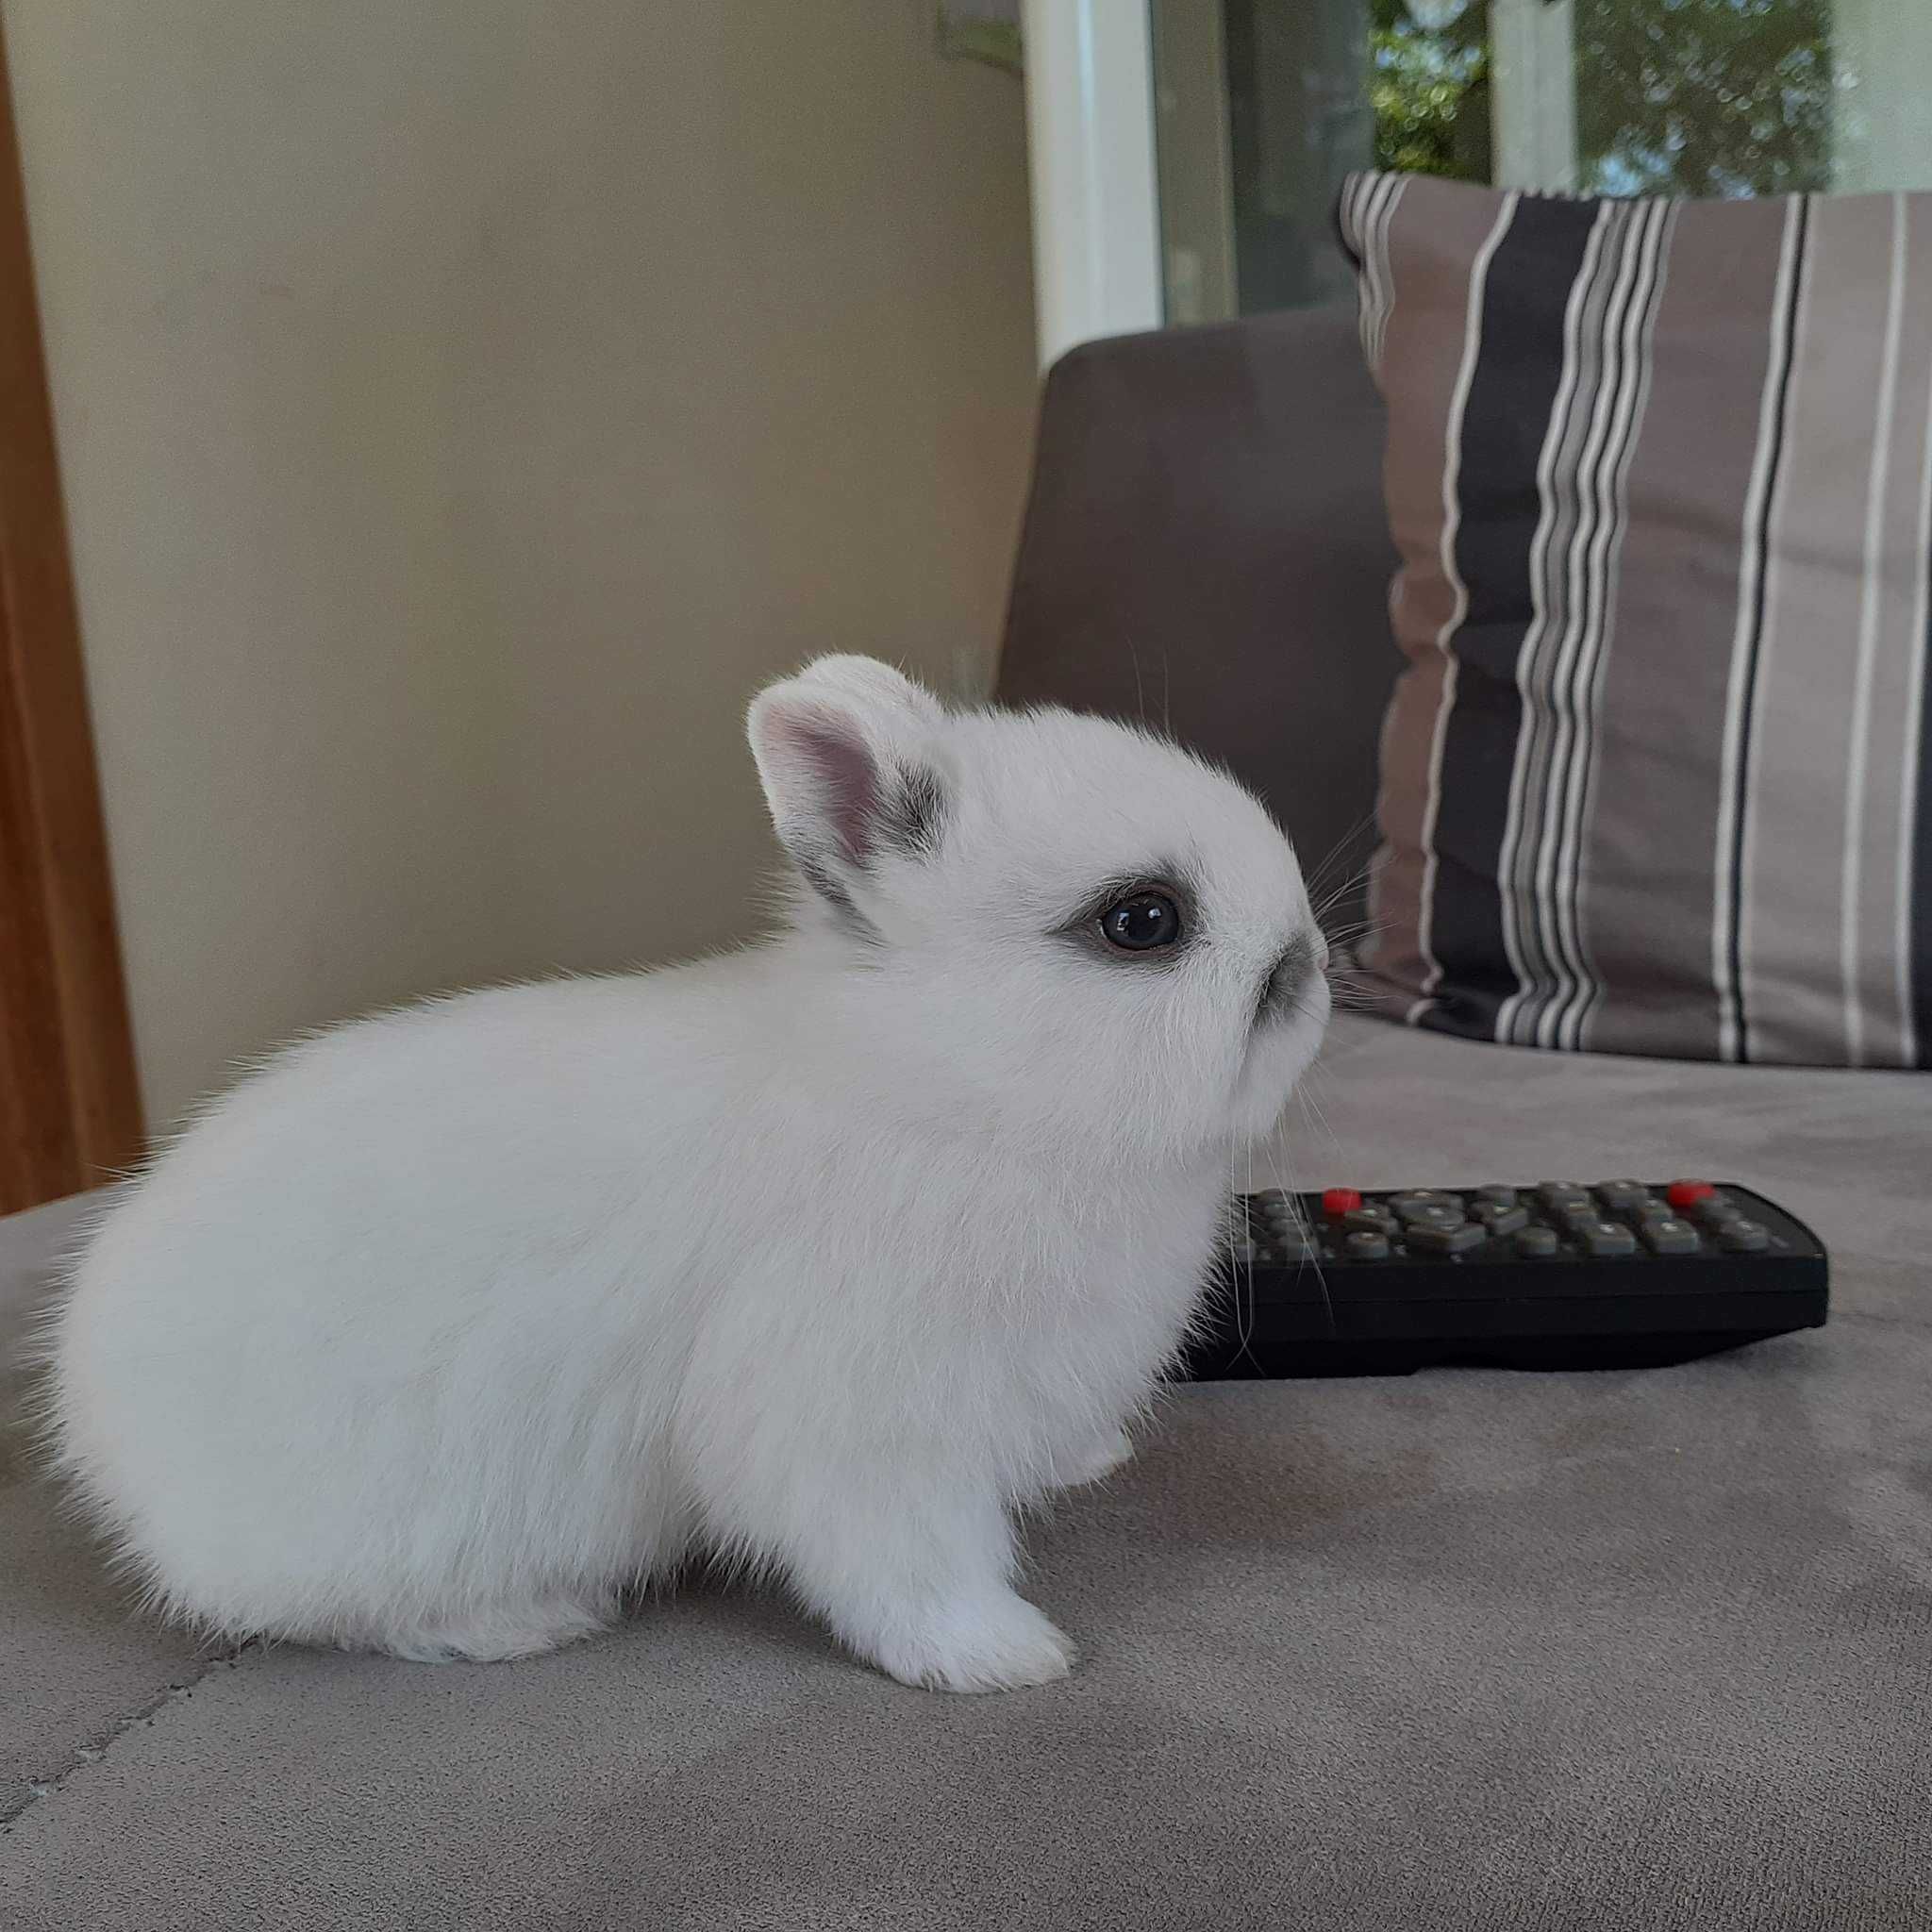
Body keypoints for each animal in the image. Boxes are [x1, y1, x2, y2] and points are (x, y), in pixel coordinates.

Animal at [37, 660, 1329, 1692]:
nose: (1307, 961)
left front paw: (1091, 1462)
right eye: (1141, 919)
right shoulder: (849, 1417)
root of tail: (105, 1448)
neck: (955, 1082)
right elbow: (902, 1556)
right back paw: (525, 1620)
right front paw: (1003, 1658)